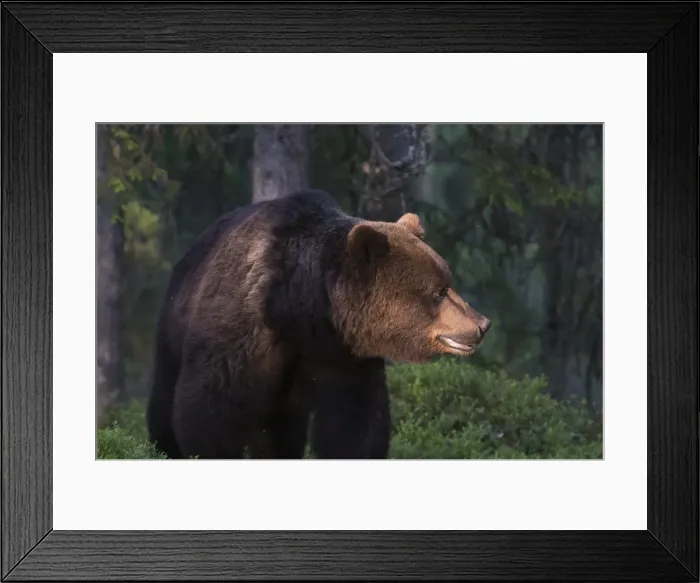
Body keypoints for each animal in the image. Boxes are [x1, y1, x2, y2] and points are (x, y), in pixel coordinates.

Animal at [146, 189, 491, 460]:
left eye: (448, 282)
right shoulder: (243, 332)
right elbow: (210, 410)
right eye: (438, 292)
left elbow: (355, 424)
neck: (302, 310)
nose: (482, 324)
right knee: (164, 398)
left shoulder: (343, 355)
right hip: (174, 324)